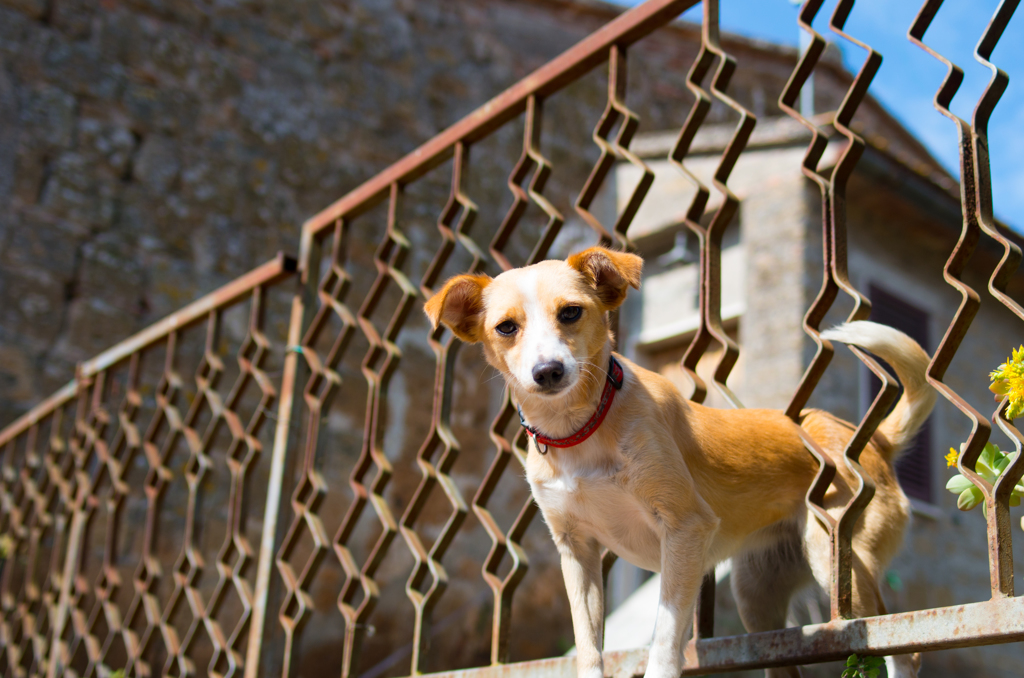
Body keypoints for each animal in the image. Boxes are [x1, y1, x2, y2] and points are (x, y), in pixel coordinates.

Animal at [423, 246, 937, 678]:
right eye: (506, 327)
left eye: (570, 312)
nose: (547, 371)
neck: (581, 427)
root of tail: (871, 440)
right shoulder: (577, 552)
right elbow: (588, 647)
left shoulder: (685, 529)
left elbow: (665, 641)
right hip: (755, 591)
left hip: (837, 557)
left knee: (904, 648)